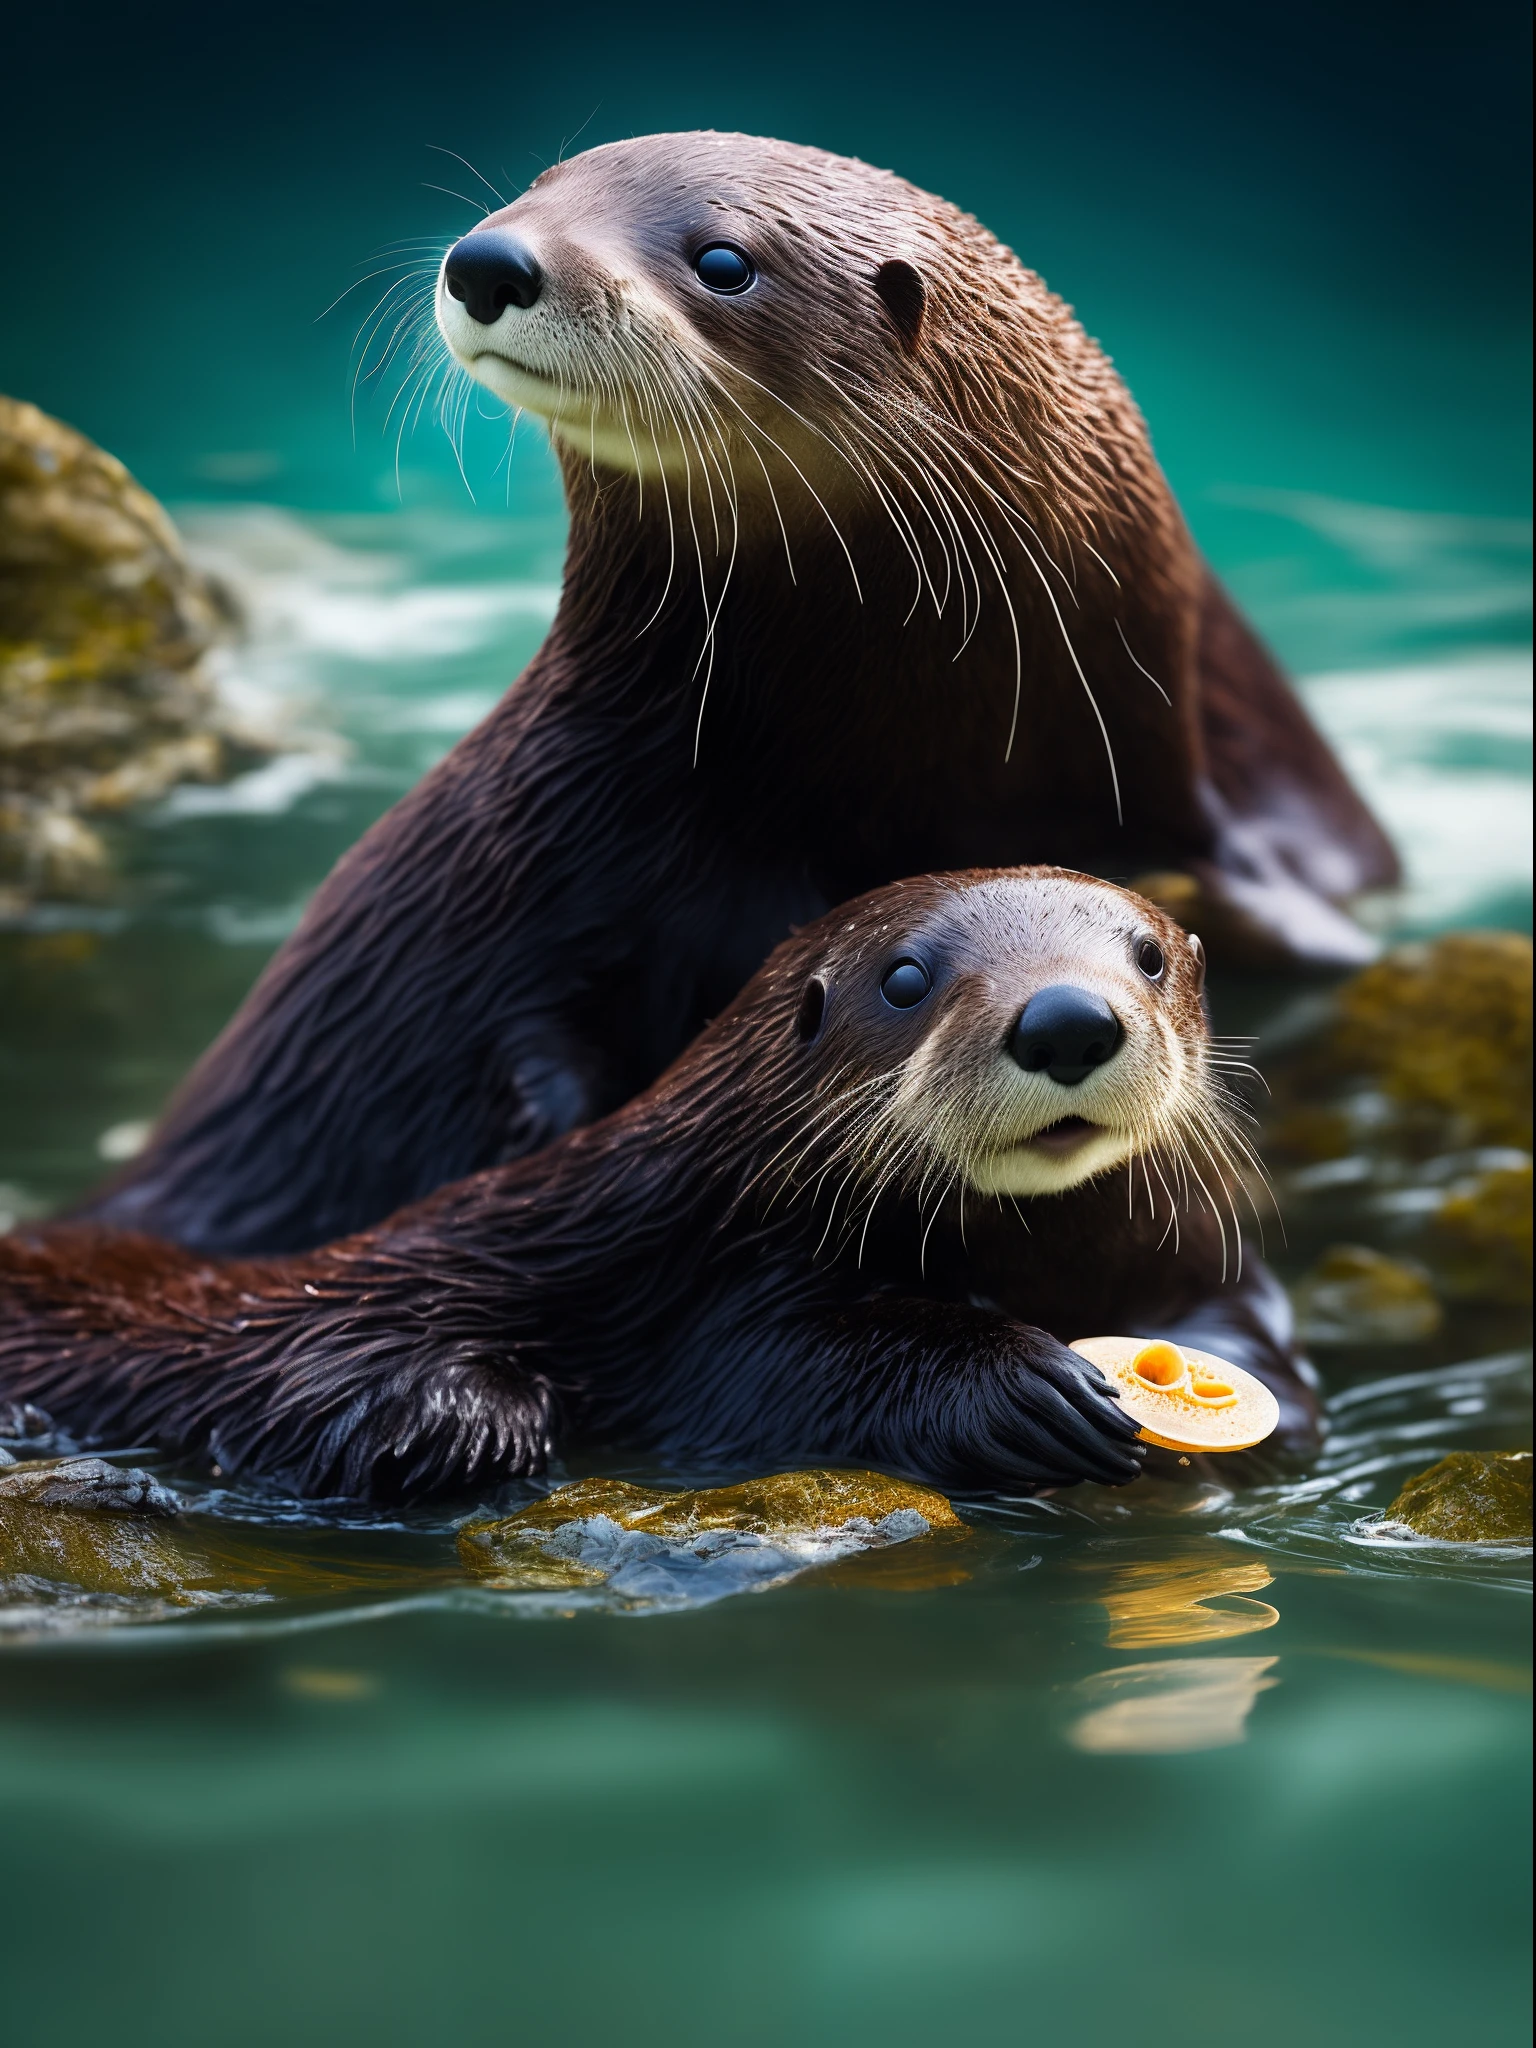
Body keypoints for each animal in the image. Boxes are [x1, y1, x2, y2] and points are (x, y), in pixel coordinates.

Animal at [3, 868, 1327, 1507]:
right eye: (907, 977)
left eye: (1147, 954)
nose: (1064, 1016)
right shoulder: (718, 1293)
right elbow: (794, 1372)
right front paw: (1024, 1387)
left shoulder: (1187, 1252)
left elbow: (1252, 1340)